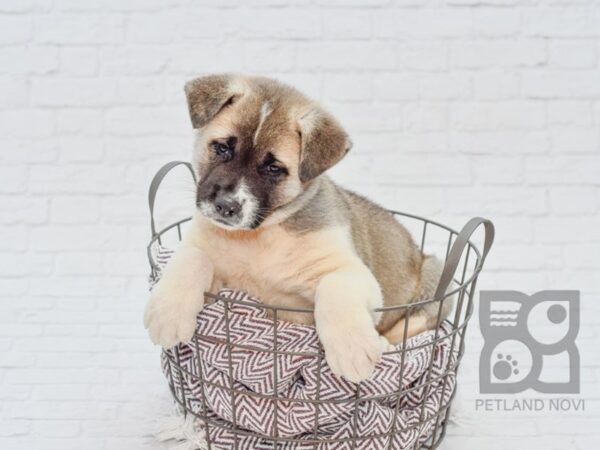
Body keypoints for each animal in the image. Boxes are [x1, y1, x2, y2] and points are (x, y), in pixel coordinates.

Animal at [143, 74, 452, 384]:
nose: (225, 206)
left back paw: (382, 343)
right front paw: (167, 313)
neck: (259, 235)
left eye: (273, 168)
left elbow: (335, 287)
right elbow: (191, 259)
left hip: (432, 284)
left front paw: (352, 349)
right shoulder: (205, 254)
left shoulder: (352, 272)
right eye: (222, 148)